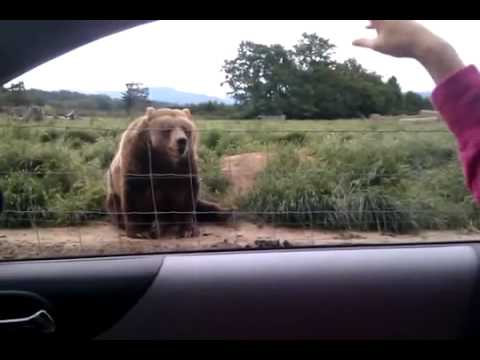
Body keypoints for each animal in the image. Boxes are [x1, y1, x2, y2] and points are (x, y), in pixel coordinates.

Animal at [105, 105, 232, 238]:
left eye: (186, 129)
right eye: (167, 129)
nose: (181, 141)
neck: (164, 158)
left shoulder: (184, 164)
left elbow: (185, 194)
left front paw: (187, 230)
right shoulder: (138, 158)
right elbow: (135, 194)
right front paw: (140, 231)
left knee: (203, 206)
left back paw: (226, 213)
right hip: (113, 195)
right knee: (115, 208)